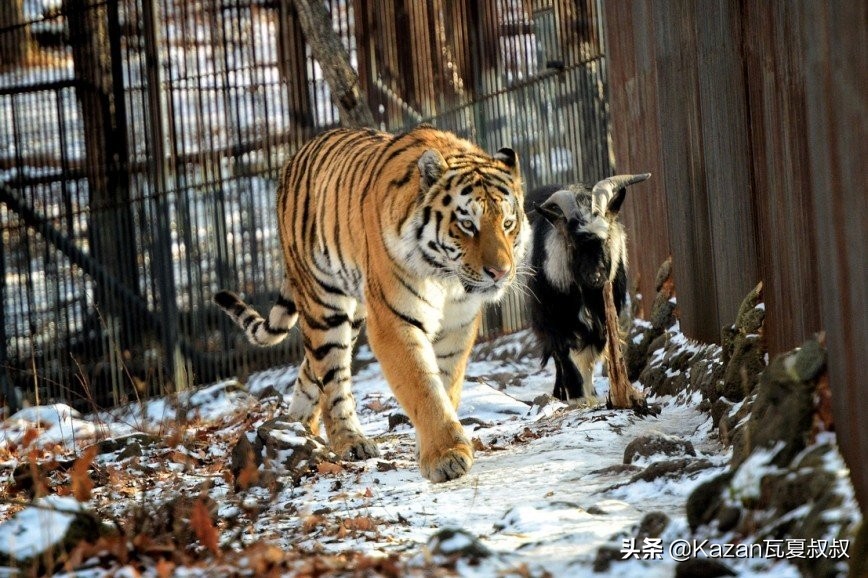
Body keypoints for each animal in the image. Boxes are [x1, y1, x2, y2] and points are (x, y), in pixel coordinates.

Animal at [217, 126, 528, 482]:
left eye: (507, 223)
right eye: (467, 225)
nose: (500, 272)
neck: (446, 278)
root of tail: (295, 156)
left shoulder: (458, 325)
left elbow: (447, 384)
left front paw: (433, 448)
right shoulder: (395, 320)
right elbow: (424, 388)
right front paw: (446, 456)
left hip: (352, 315)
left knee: (310, 371)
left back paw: (295, 429)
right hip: (325, 308)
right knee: (331, 379)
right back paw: (349, 442)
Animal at [524, 172, 652, 400]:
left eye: (607, 238)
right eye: (572, 243)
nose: (595, 277)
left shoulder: (604, 318)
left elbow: (590, 358)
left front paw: (590, 392)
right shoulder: (555, 322)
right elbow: (564, 356)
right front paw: (576, 394)